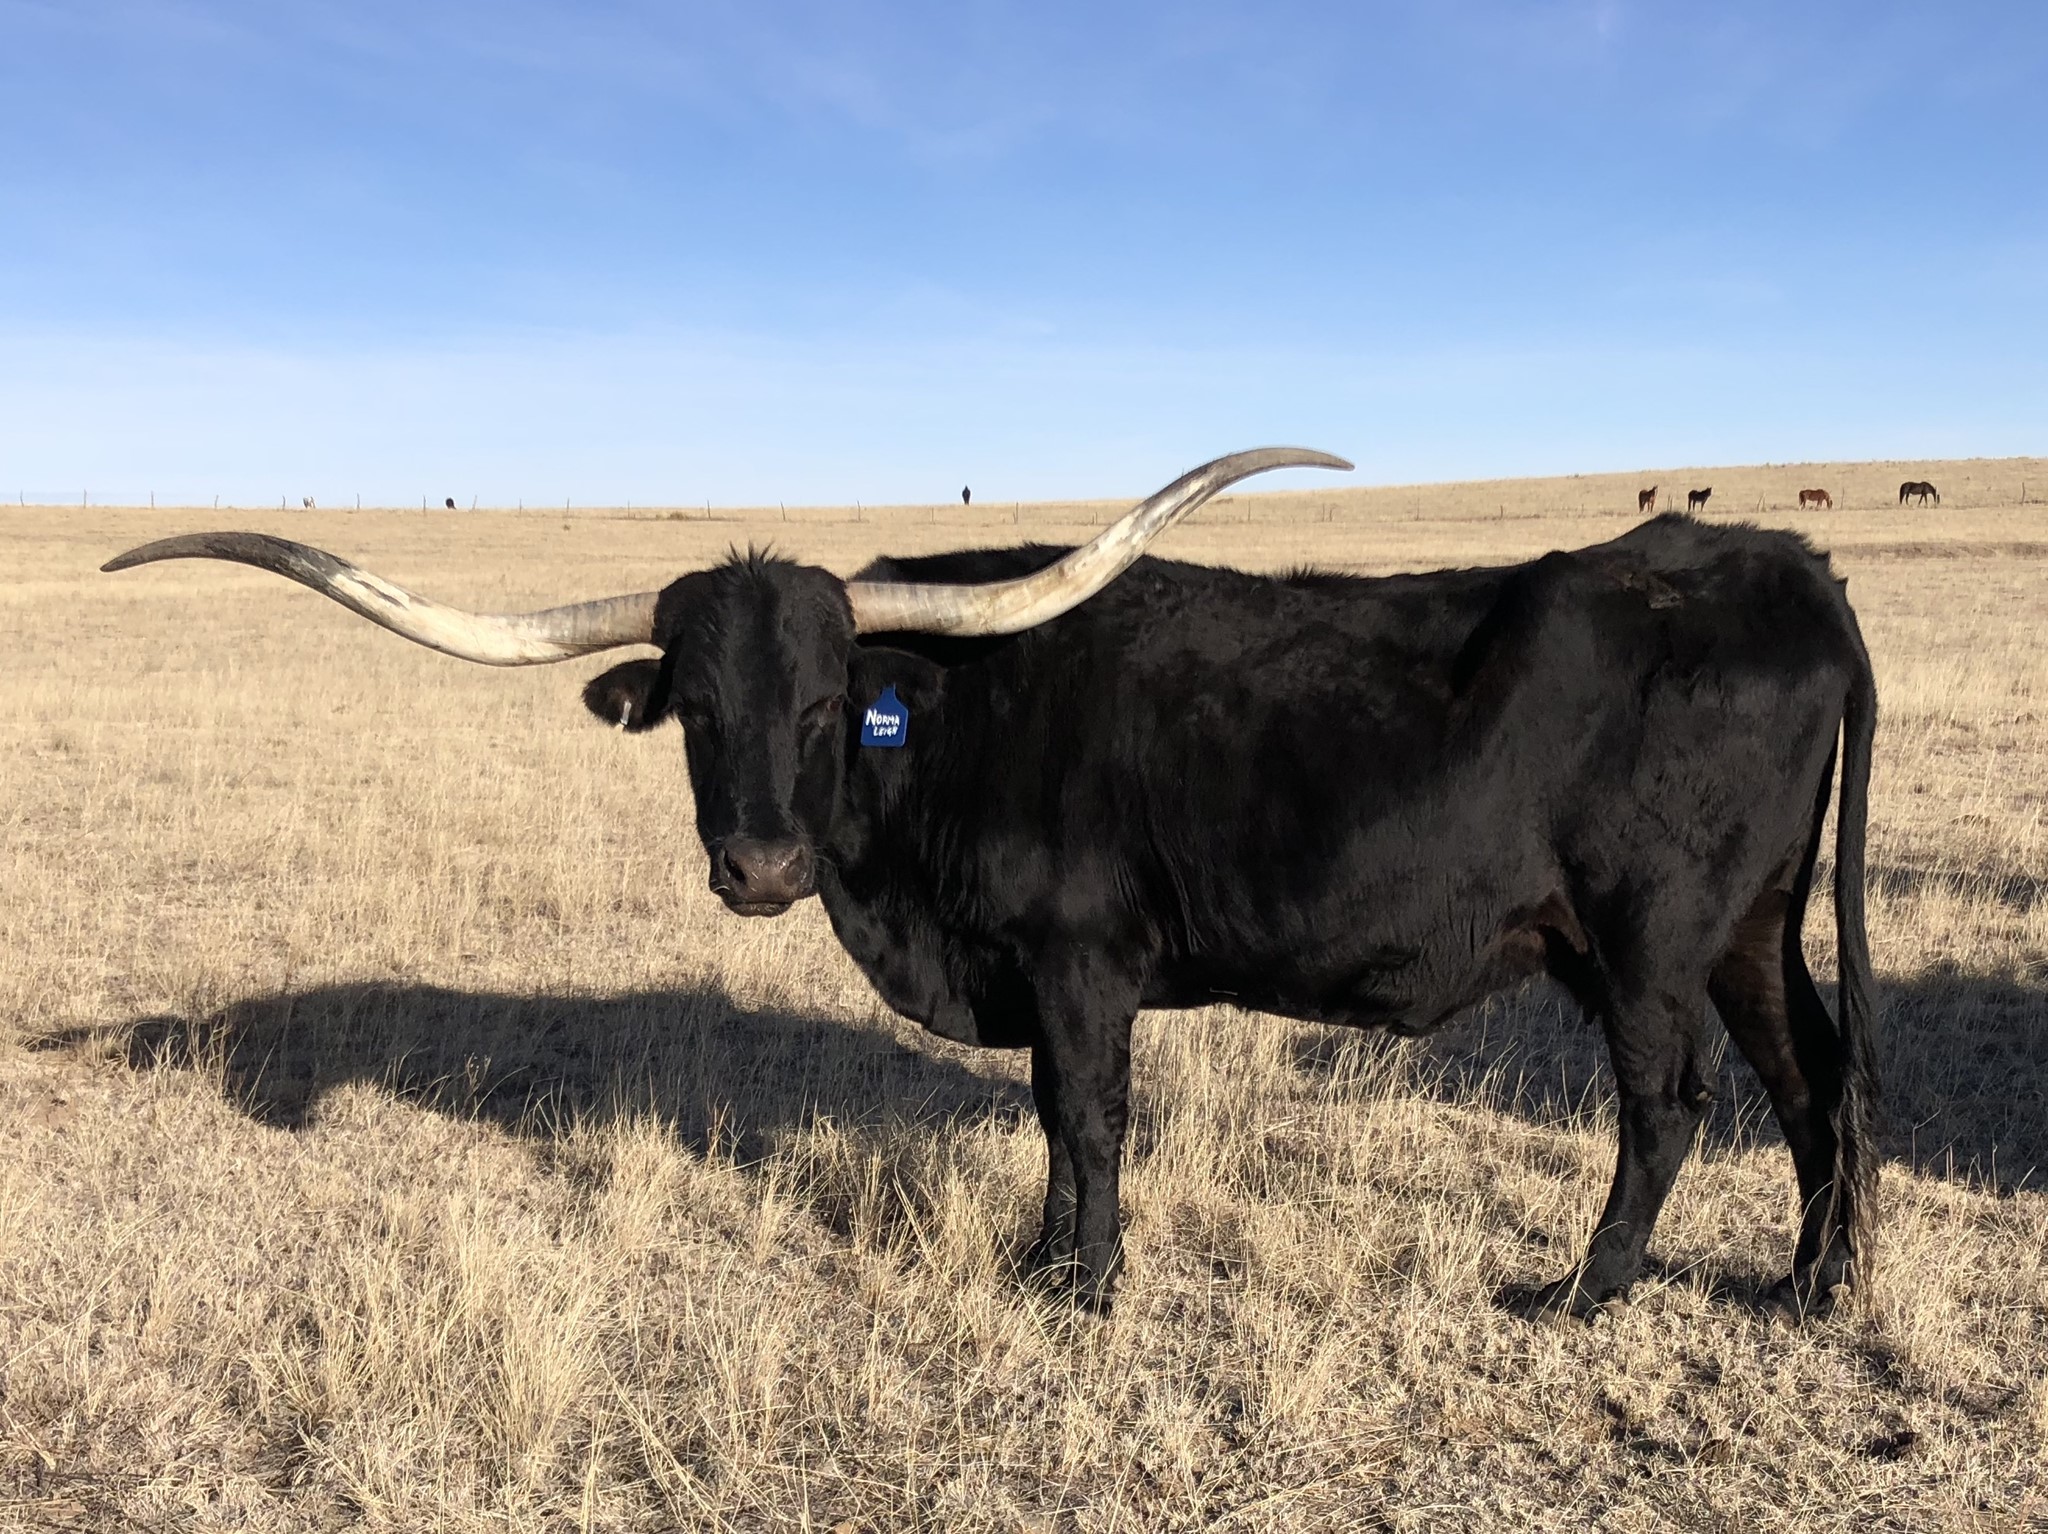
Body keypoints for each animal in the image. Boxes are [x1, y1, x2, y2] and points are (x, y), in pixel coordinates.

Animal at [103, 447, 1879, 1322]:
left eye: (828, 699)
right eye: (695, 704)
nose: (759, 862)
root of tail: (1784, 562)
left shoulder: (1082, 962)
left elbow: (1085, 1115)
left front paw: (1084, 1286)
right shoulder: (1030, 977)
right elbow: (1042, 1120)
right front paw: (1042, 1257)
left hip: (1646, 938)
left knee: (1673, 1101)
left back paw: (1583, 1289)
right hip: (1744, 930)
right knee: (1816, 1077)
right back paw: (1811, 1286)